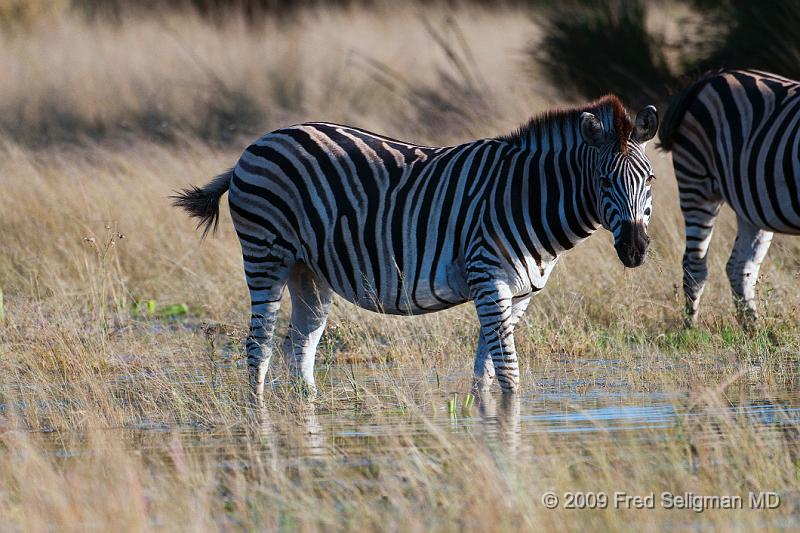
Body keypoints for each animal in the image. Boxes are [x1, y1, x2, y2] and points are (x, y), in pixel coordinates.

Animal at [173, 96, 656, 404]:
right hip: (265, 255)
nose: (635, 249)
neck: (526, 196)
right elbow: (509, 374)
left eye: (649, 180)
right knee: (259, 346)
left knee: (299, 348)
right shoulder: (488, 279)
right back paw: (257, 421)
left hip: (308, 271)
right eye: (604, 182)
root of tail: (258, 143)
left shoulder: (518, 294)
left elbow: (485, 374)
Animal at [656, 70, 800, 324]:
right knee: (694, 266)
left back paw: (754, 329)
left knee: (739, 268)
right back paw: (690, 328)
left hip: (752, 205)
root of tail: (712, 78)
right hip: (696, 183)